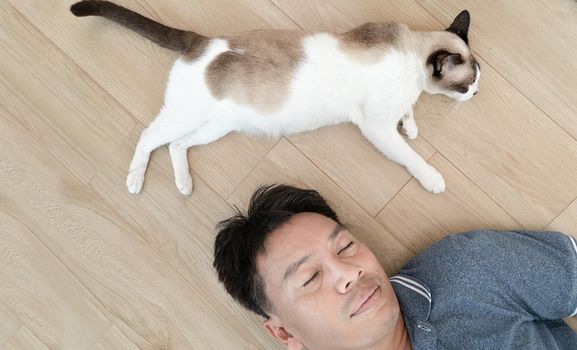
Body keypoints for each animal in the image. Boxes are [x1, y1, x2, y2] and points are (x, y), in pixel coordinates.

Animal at [72, 0, 480, 194]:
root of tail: (200, 41)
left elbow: (408, 112)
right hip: (185, 114)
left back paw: (184, 185)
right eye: (467, 84)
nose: (477, 92)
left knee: (177, 145)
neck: (409, 50)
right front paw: (432, 177)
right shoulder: (377, 127)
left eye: (477, 79)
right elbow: (412, 157)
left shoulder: (396, 106)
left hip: (217, 125)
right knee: (149, 137)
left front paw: (411, 126)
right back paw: (135, 181)